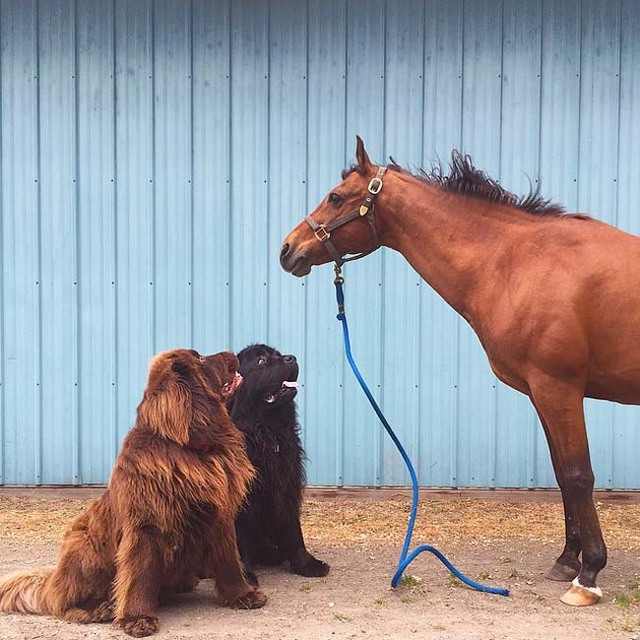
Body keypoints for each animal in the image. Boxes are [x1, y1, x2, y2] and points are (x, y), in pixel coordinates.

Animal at [0, 350, 264, 636]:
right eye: (201, 359)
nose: (232, 354)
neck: (191, 448)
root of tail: (53, 579)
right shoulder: (146, 526)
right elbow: (140, 573)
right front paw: (137, 618)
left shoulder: (219, 515)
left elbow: (229, 561)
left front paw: (243, 595)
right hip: (83, 547)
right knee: (61, 602)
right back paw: (100, 609)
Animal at [230, 344, 330, 584]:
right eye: (261, 360)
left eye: (278, 353)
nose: (291, 358)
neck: (268, 433)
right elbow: (240, 535)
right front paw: (245, 575)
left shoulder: (287, 486)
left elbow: (294, 529)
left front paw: (306, 563)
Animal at [282, 135, 640, 604]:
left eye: (336, 197)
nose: (287, 249)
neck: (520, 264)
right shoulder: (541, 393)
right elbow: (563, 476)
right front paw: (567, 561)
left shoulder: (559, 389)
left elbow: (580, 476)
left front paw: (589, 574)